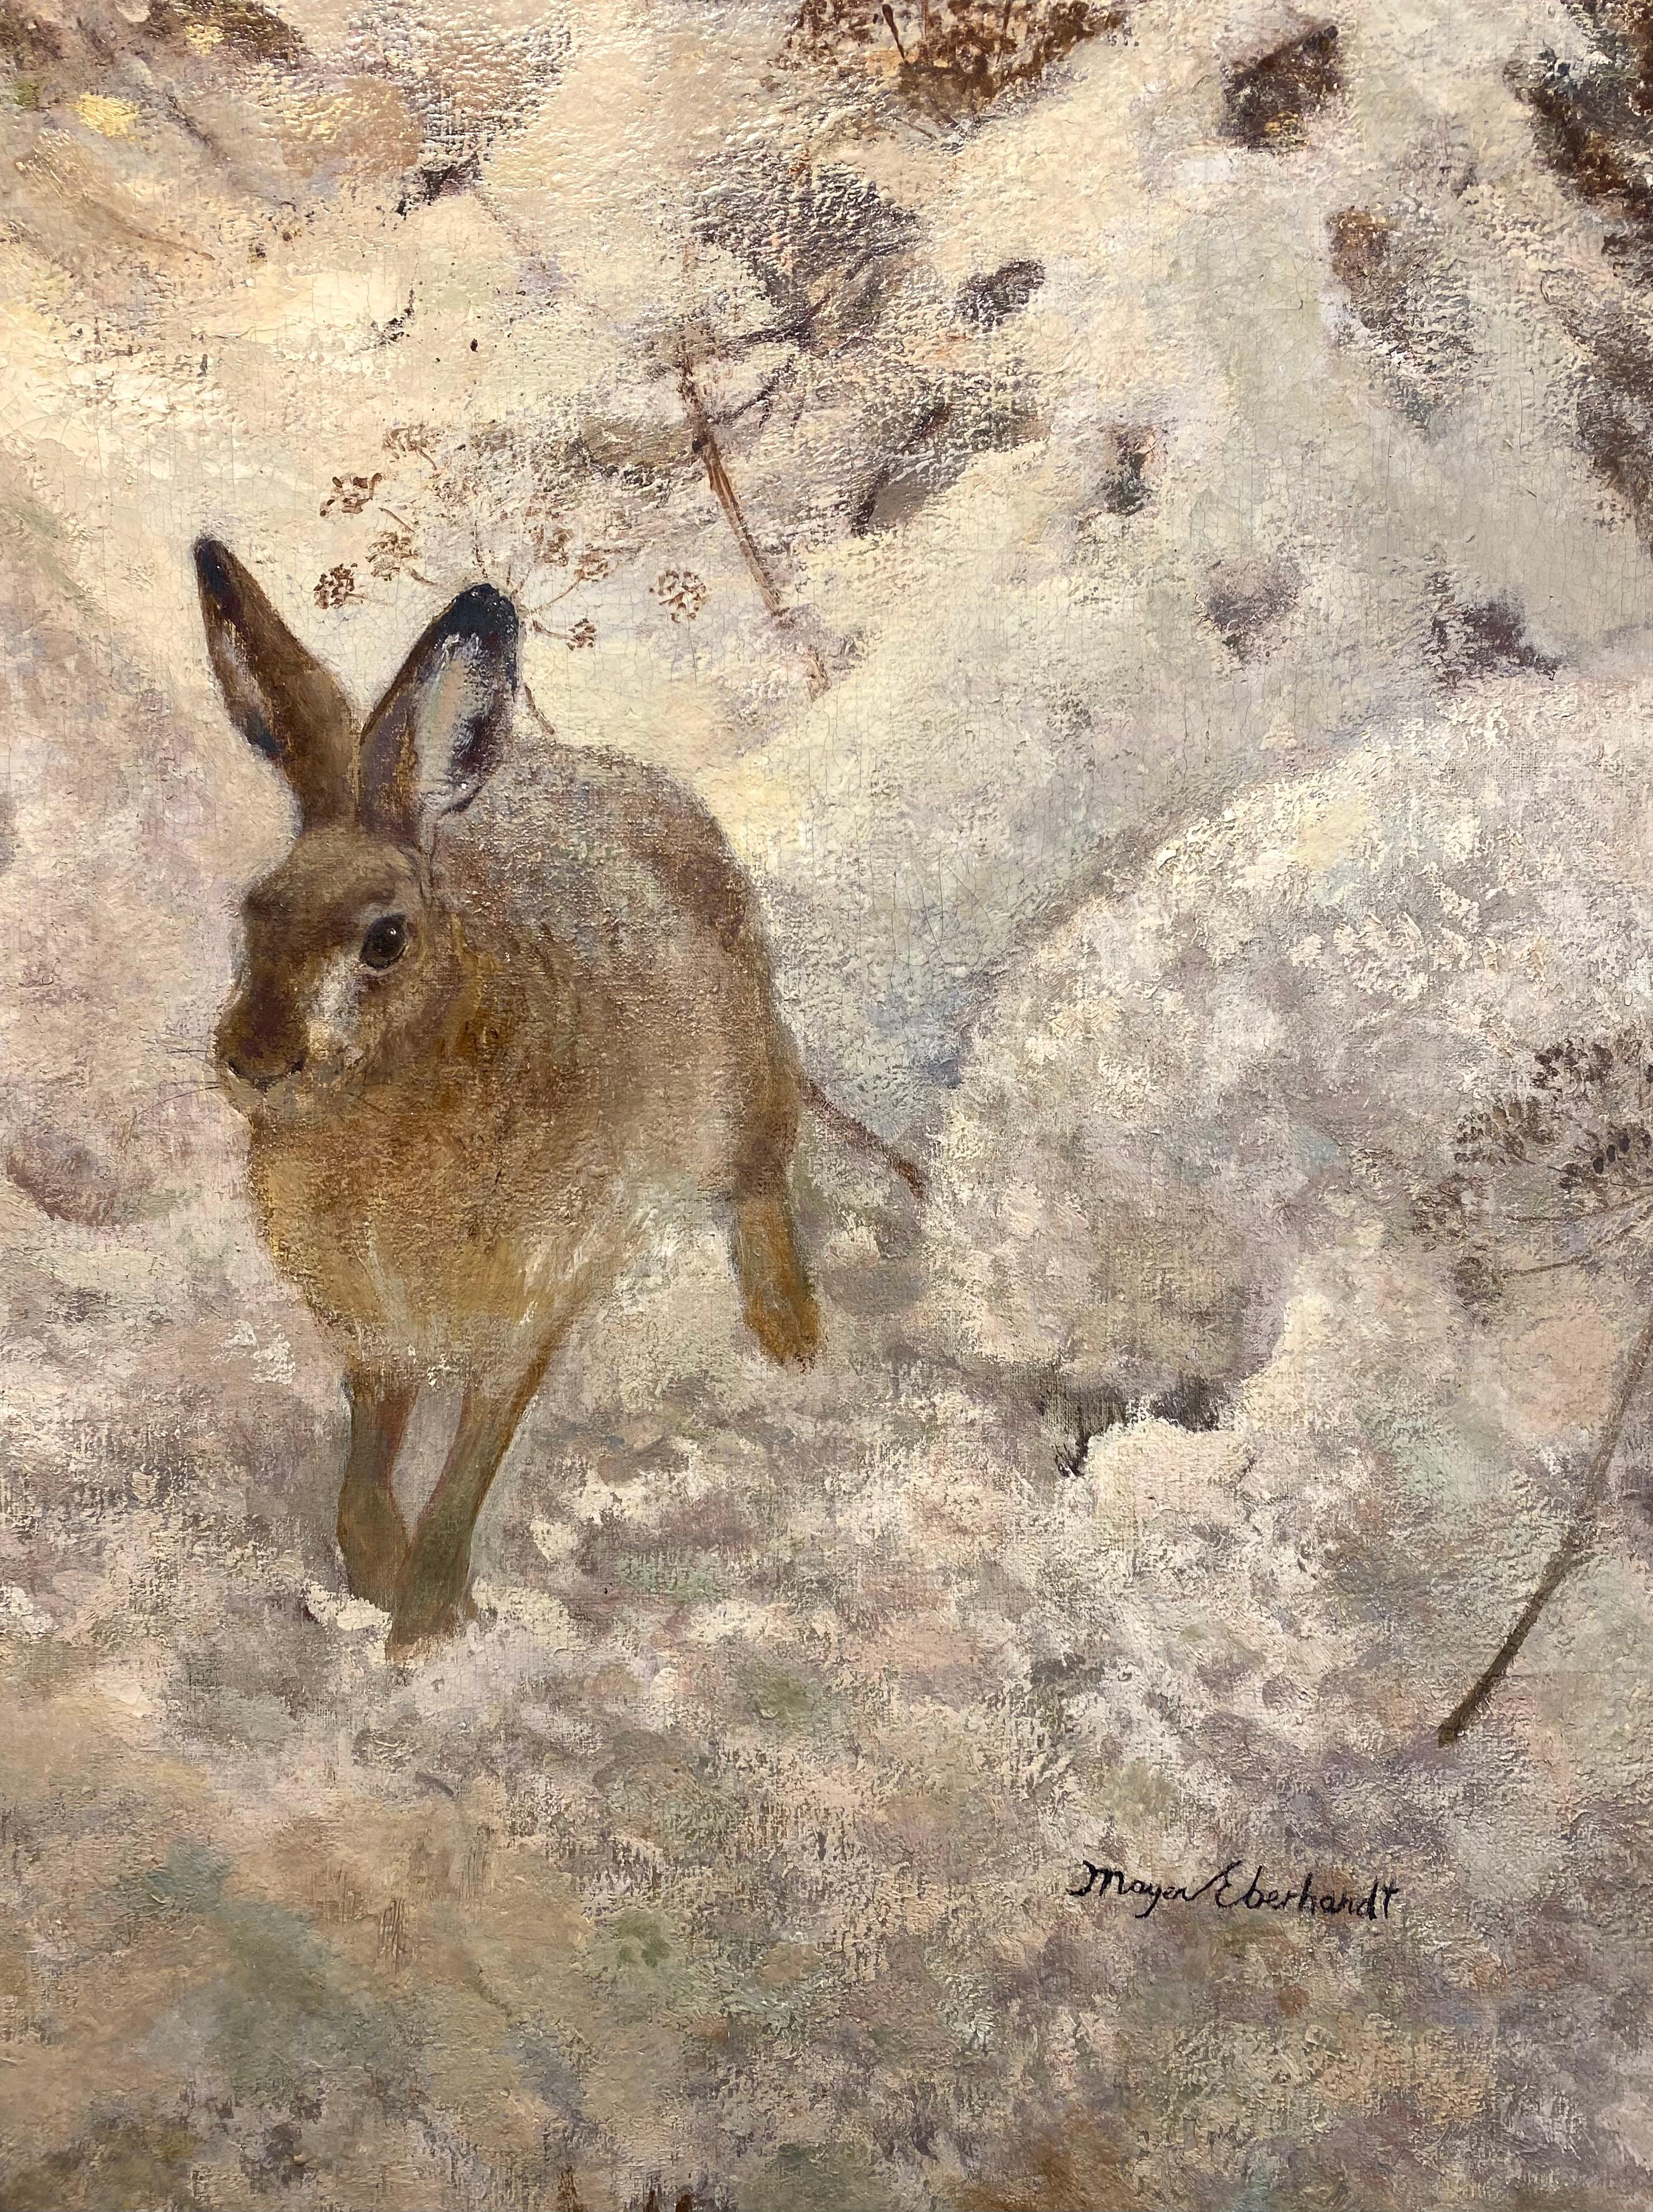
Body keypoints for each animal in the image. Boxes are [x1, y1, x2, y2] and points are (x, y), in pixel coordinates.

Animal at [194, 537, 871, 1656]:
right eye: (252, 913)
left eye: (386, 939)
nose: (253, 1059)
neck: (395, 1096)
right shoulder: (376, 1336)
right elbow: (368, 1456)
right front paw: (375, 1576)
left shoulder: (526, 1307)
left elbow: (470, 1464)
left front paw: (425, 1625)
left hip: (732, 1085)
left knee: (759, 1181)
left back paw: (791, 1335)